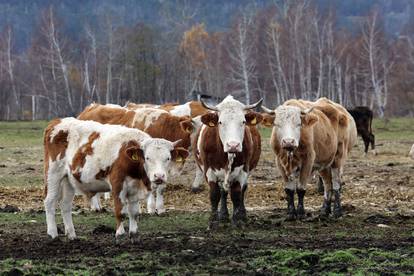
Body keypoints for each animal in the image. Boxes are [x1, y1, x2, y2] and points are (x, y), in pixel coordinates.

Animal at [43, 117, 189, 240]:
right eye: (147, 158)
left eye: (168, 158)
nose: (159, 176)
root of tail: (56, 122)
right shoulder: (117, 184)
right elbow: (120, 211)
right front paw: (120, 234)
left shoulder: (134, 187)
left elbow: (134, 212)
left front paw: (133, 233)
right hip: (53, 174)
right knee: (49, 202)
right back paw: (53, 233)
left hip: (68, 180)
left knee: (65, 205)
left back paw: (72, 235)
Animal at [195, 96, 262, 227]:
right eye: (220, 122)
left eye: (243, 122)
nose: (233, 145)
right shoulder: (209, 170)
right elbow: (214, 194)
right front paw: (213, 220)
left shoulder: (242, 171)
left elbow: (236, 195)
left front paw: (236, 220)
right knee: (223, 192)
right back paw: (223, 215)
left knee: (242, 190)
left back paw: (242, 215)